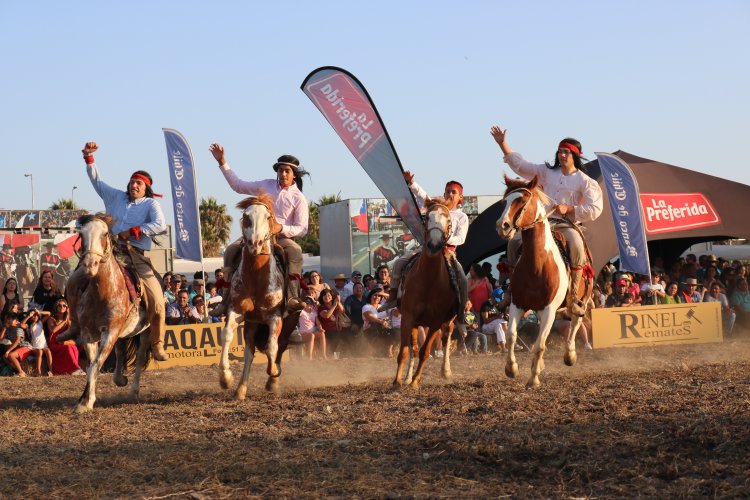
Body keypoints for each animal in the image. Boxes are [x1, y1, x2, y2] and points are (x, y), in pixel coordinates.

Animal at [71, 214, 152, 410]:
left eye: (104, 234)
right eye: (82, 235)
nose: (90, 264)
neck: (103, 292)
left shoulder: (110, 331)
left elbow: (95, 366)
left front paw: (85, 401)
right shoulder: (88, 334)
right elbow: (91, 366)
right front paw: (86, 399)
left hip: (145, 331)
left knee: (139, 358)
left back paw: (133, 391)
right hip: (122, 334)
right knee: (120, 352)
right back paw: (120, 379)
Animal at [217, 193, 300, 400]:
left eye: (268, 217)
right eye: (246, 216)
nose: (255, 243)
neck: (256, 277)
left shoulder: (275, 318)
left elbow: (272, 347)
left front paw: (273, 374)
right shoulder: (237, 311)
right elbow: (227, 335)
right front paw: (225, 378)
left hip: (289, 323)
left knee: (281, 346)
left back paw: (273, 381)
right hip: (252, 324)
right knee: (249, 353)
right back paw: (240, 389)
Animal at [396, 197, 462, 388]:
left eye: (449, 222)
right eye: (426, 218)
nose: (434, 245)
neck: (428, 281)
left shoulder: (436, 322)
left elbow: (425, 351)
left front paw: (415, 382)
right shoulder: (408, 317)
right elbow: (406, 350)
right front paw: (398, 381)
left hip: (449, 319)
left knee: (447, 335)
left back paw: (446, 371)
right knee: (414, 347)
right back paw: (407, 377)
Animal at [496, 178, 596, 388]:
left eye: (522, 200)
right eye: (504, 201)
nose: (503, 225)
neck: (538, 264)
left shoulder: (550, 308)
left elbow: (540, 344)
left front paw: (533, 379)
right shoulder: (517, 304)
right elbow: (511, 335)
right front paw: (511, 368)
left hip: (582, 300)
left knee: (576, 323)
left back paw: (570, 355)